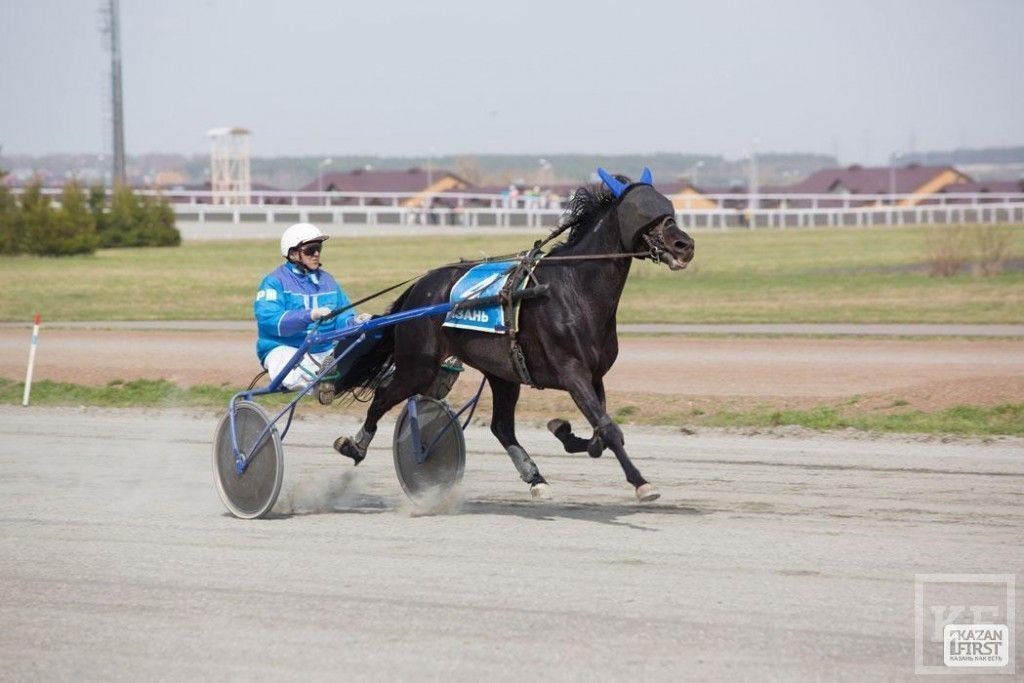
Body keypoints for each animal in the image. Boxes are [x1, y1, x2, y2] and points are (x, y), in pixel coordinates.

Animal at [331, 171, 692, 501]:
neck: (575, 287)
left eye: (667, 209)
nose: (685, 245)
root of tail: (421, 286)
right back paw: (354, 446)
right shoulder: (571, 371)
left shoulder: (594, 375)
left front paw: (564, 430)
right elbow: (608, 429)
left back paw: (535, 477)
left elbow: (598, 434)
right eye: (646, 213)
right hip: (419, 365)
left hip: (502, 372)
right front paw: (641, 482)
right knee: (383, 396)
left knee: (501, 426)